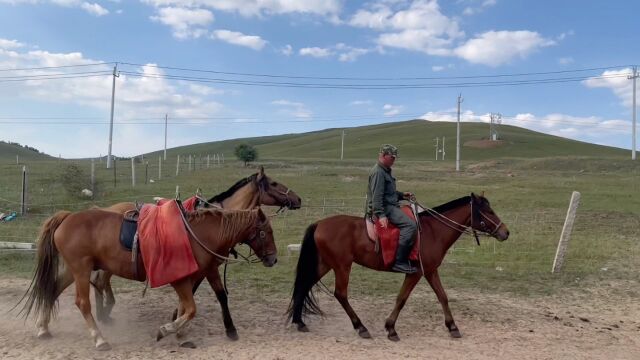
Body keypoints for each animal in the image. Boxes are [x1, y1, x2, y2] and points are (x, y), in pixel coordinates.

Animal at [21, 207, 276, 350]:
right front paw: (167, 330)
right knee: (82, 303)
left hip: (73, 270)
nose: (273, 259)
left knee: (53, 289)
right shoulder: (179, 279)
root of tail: (67, 217)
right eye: (266, 233)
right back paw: (99, 340)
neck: (196, 235)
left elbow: (185, 307)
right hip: (82, 269)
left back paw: (43, 328)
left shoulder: (192, 276)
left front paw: (181, 335)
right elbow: (191, 309)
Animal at [93, 167, 302, 332]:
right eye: (274, 183)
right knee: (99, 282)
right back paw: (104, 314)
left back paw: (104, 314)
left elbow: (193, 292)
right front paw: (177, 318)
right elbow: (199, 292)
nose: (298, 199)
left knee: (98, 282)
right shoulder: (205, 267)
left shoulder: (203, 268)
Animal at [288, 194, 512, 340]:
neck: (433, 231)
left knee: (304, 285)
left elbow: (443, 296)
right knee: (340, 294)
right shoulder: (416, 273)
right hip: (342, 266)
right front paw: (391, 329)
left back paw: (300, 322)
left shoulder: (430, 271)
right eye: (488, 211)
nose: (505, 232)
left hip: (326, 264)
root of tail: (319, 223)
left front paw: (452, 327)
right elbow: (402, 299)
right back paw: (361, 327)